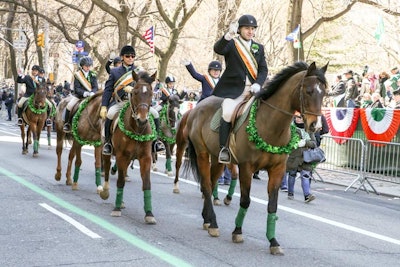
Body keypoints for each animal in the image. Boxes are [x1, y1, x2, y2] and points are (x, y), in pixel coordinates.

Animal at [102, 70, 157, 224]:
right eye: (134, 92)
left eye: (151, 93)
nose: (142, 119)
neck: (137, 130)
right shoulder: (122, 156)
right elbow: (120, 181)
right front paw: (116, 209)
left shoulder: (146, 158)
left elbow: (147, 184)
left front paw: (149, 213)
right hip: (108, 152)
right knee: (107, 171)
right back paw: (107, 193)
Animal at [183, 61, 326, 256]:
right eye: (309, 91)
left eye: (324, 92)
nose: (315, 126)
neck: (270, 126)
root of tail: (198, 106)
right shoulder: (247, 167)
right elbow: (245, 200)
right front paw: (237, 232)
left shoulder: (277, 170)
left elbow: (272, 205)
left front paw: (273, 242)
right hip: (202, 154)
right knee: (205, 185)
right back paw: (213, 224)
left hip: (217, 159)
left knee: (211, 184)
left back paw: (207, 220)